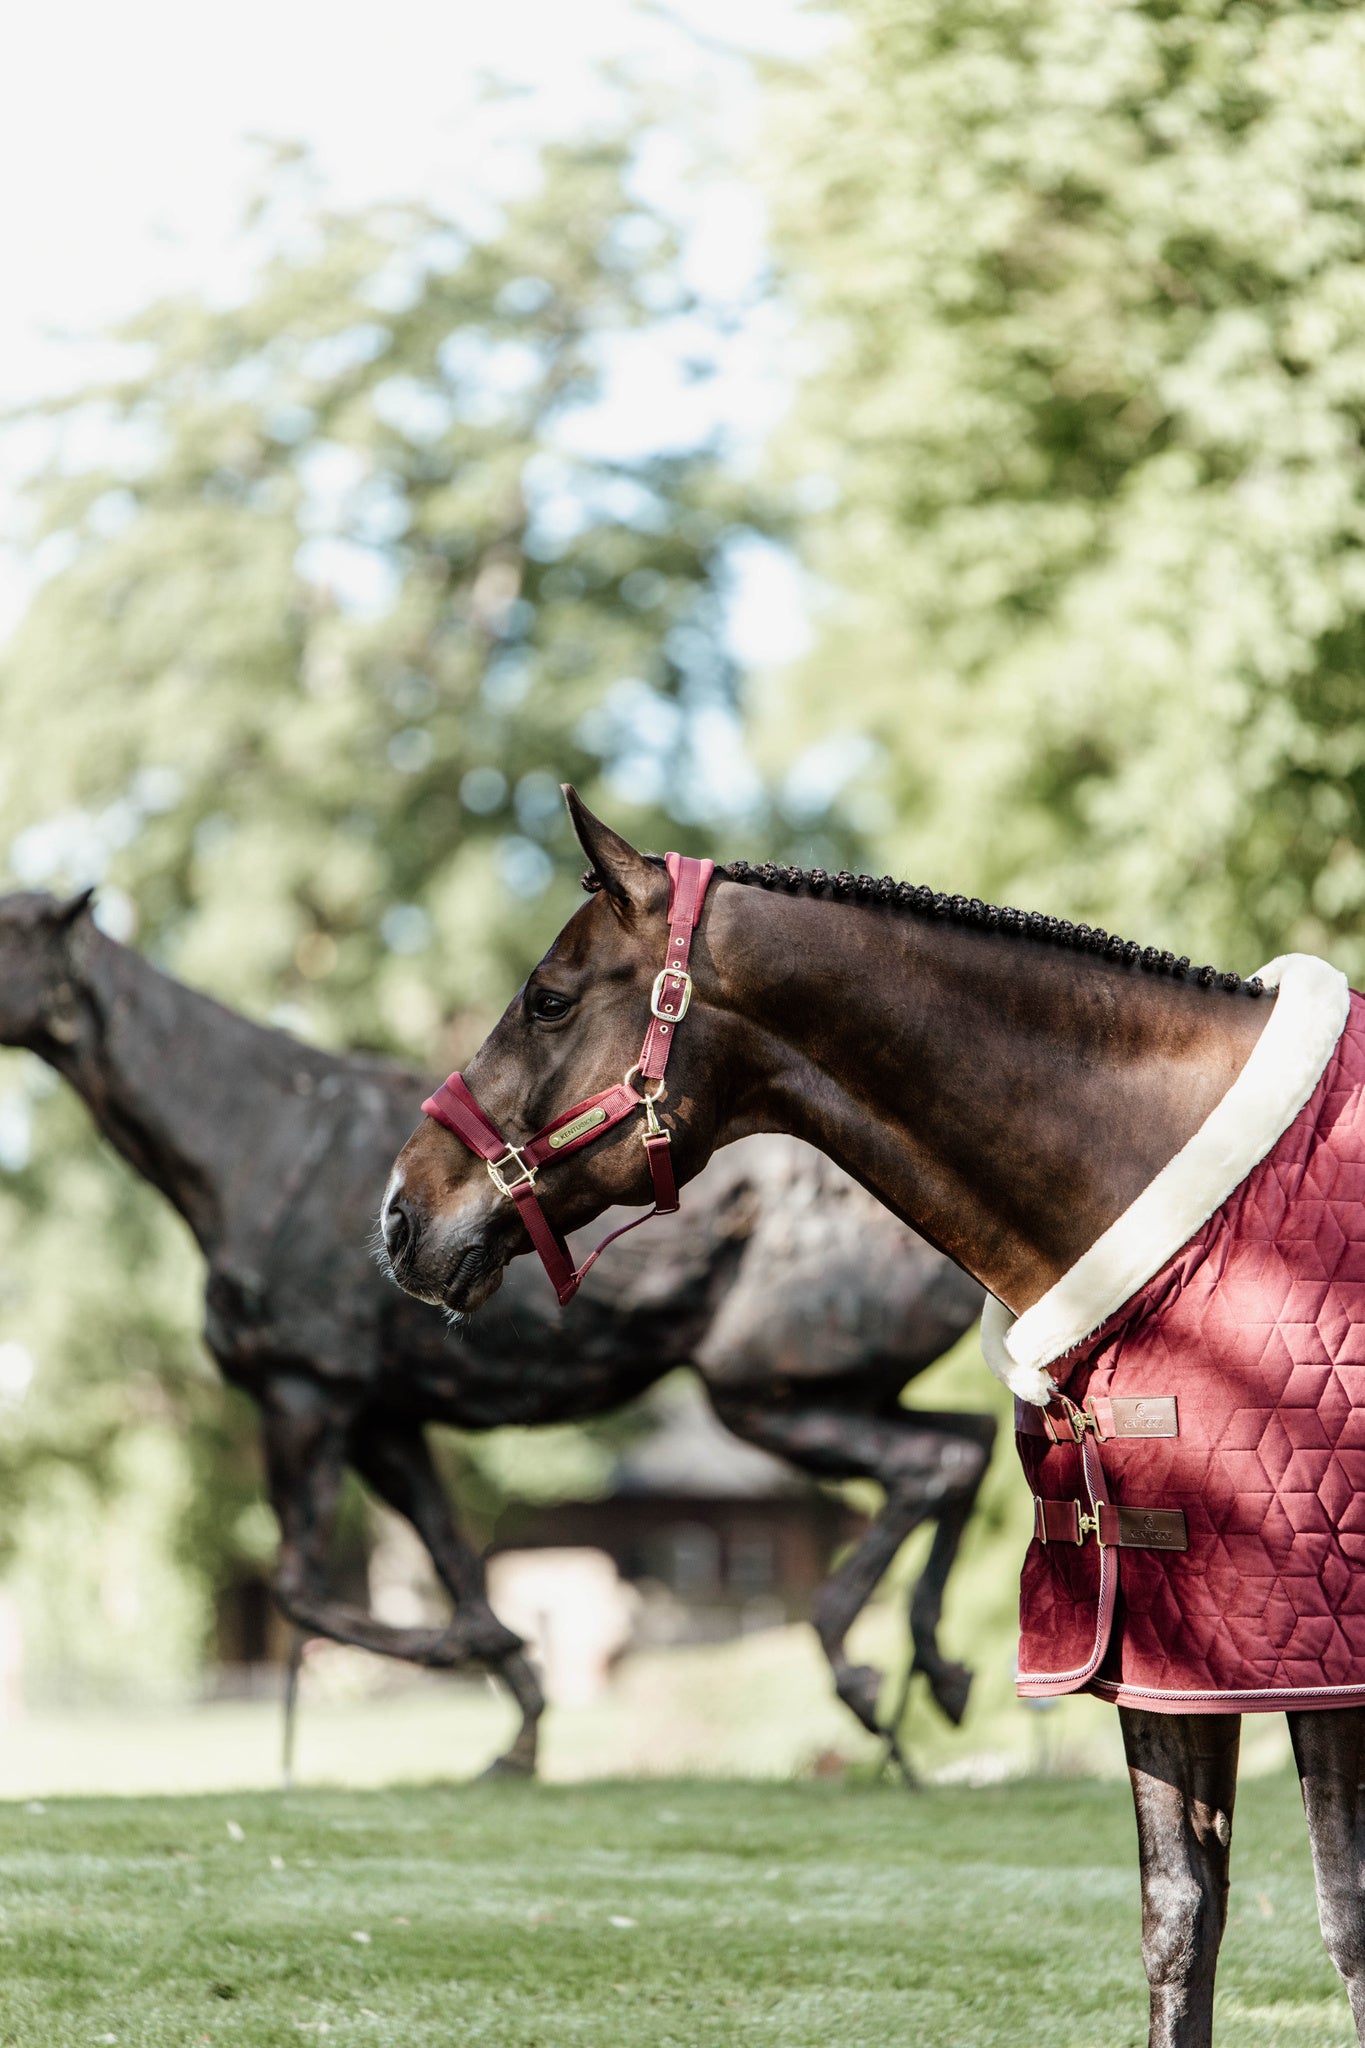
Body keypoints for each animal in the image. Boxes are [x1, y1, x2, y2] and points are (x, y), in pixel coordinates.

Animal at [0, 887, 989, 1775]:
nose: (403, 1227)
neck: (267, 1148)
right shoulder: (383, 1418)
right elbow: (455, 1564)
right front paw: (515, 1724)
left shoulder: (306, 1395)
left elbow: (304, 1593)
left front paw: (477, 1655)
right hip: (825, 1394)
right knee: (966, 1446)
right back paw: (934, 1673)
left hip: (763, 1397)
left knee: (929, 1466)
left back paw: (865, 1675)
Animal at [383, 788, 1365, 2048]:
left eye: (549, 997)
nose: (402, 1215)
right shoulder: (1166, 1650)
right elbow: (1181, 1913)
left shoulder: (1316, 1660)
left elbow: (1346, 1921)